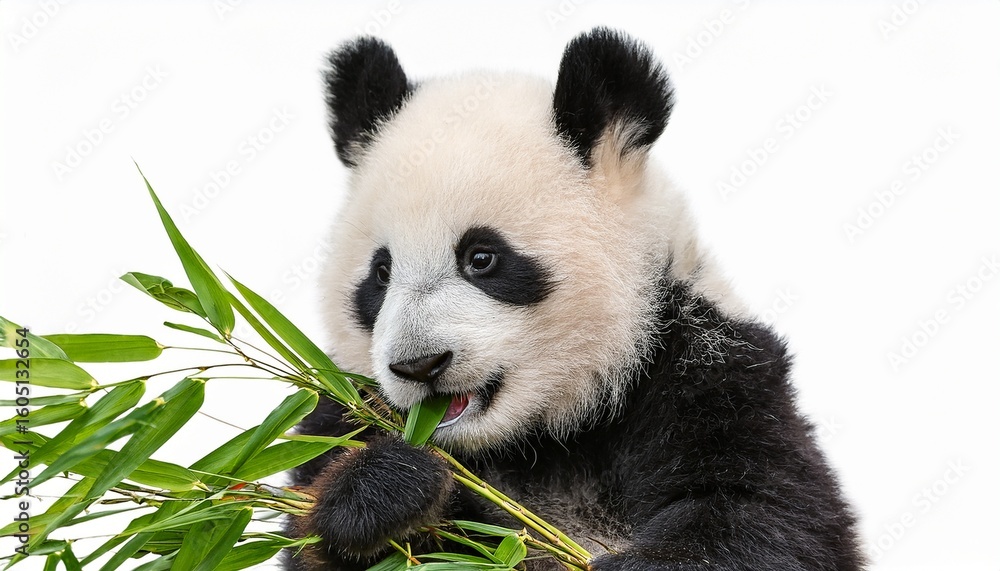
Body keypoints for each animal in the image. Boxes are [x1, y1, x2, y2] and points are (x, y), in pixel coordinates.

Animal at [285, 28, 864, 571]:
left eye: (481, 258)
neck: (549, 433)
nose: (419, 365)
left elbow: (763, 515)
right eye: (381, 273)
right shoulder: (340, 412)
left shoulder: (708, 369)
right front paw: (383, 491)